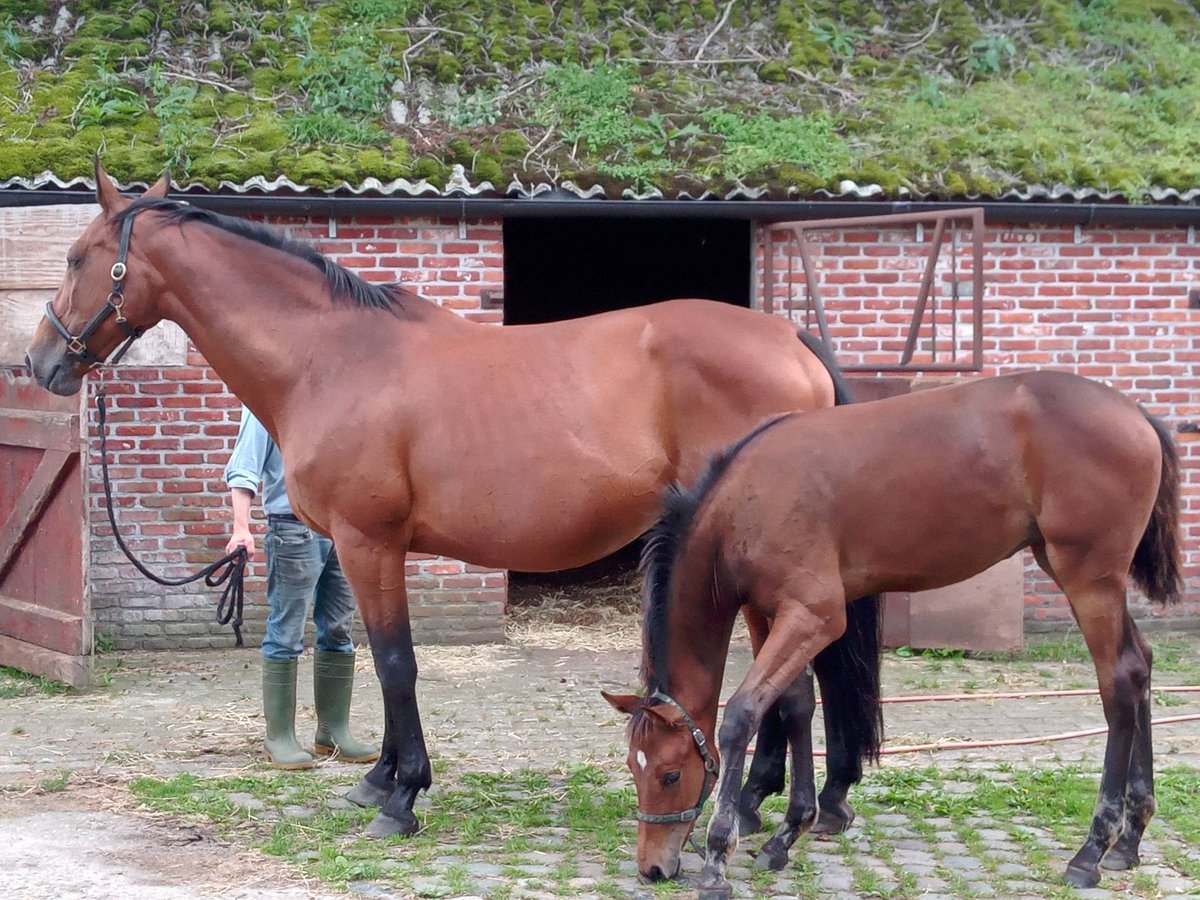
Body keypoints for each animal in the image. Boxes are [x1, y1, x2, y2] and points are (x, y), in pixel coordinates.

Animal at [21, 164, 883, 844]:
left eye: (75, 257)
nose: (41, 362)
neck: (329, 357)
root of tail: (790, 339)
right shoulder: (357, 551)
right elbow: (374, 662)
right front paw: (377, 778)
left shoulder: (370, 543)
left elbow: (397, 663)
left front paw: (400, 796)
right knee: (793, 686)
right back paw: (780, 804)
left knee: (792, 684)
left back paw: (772, 809)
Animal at [604, 369, 1185, 892]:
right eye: (633, 769)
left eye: (670, 774)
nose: (652, 867)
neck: (746, 498)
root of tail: (1137, 415)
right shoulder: (776, 613)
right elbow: (794, 706)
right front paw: (787, 833)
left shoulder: (815, 615)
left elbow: (742, 715)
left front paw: (720, 859)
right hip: (1079, 574)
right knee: (1141, 665)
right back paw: (1130, 839)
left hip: (1088, 579)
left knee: (1117, 682)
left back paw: (1091, 850)